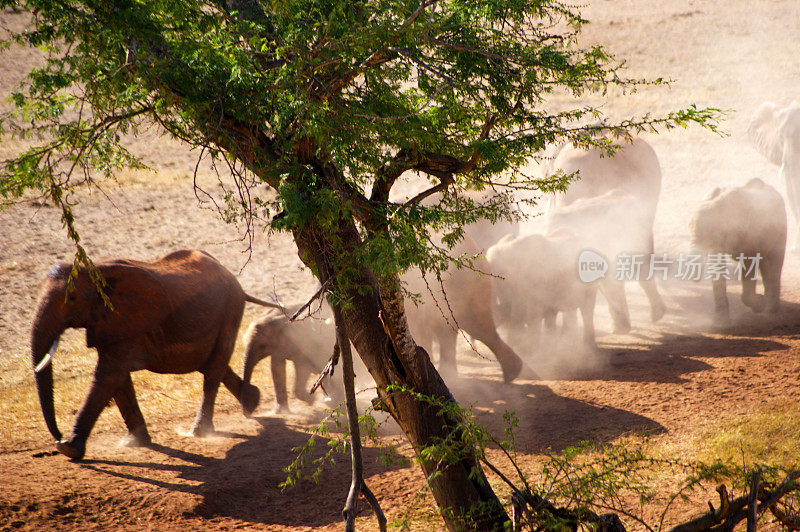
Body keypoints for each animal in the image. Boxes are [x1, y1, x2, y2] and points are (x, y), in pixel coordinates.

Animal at [30, 249, 282, 462]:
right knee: (209, 363)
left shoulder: (126, 318)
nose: (58, 436)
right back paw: (252, 401)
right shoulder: (113, 324)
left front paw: (69, 448)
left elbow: (109, 375)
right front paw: (134, 443)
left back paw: (199, 432)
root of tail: (233, 278)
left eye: (72, 298)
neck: (96, 269)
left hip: (230, 310)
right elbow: (118, 380)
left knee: (213, 369)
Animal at [688, 179, 788, 324]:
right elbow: (718, 267)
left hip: (781, 227)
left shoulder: (748, 233)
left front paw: (759, 303)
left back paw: (769, 312)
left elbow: (749, 262)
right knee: (766, 264)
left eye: (710, 235)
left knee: (774, 263)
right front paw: (720, 324)